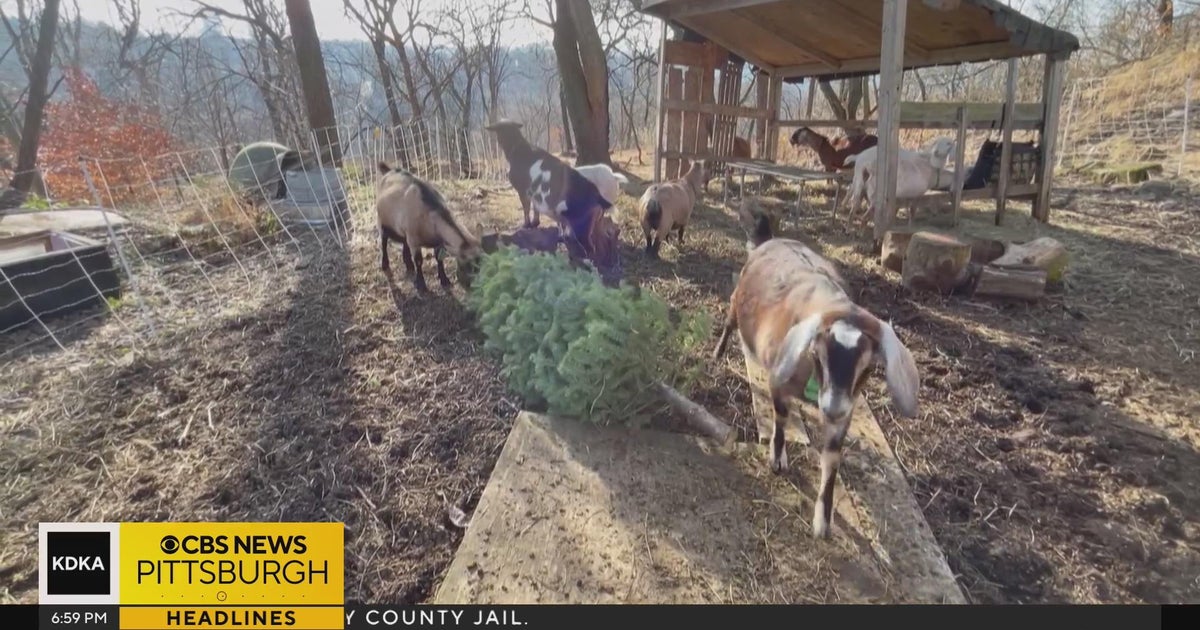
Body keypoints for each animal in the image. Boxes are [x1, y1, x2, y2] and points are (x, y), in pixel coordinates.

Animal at [375, 162, 483, 293]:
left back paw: (408, 264)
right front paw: (421, 285)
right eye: (469, 265)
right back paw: (385, 264)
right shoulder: (414, 240)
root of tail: (389, 171)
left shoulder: (437, 242)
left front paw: (444, 279)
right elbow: (419, 261)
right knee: (383, 241)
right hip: (381, 220)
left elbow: (439, 258)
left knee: (404, 242)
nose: (476, 286)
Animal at [712, 222, 920, 539]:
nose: (832, 408)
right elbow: (781, 420)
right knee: (728, 324)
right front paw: (777, 459)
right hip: (737, 303)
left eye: (869, 368)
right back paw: (718, 352)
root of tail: (771, 240)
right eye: (818, 355)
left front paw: (823, 521)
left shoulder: (845, 411)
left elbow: (832, 459)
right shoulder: (779, 383)